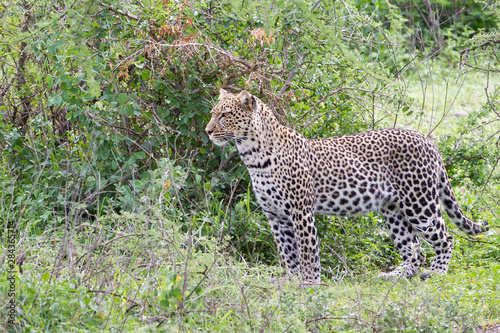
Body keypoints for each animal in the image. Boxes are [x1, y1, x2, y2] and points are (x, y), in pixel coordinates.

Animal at [205, 88, 490, 282]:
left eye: (225, 115)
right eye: (212, 114)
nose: (207, 131)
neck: (254, 156)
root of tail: (429, 141)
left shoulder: (300, 212)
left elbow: (307, 251)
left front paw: (310, 283)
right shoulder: (275, 216)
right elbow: (287, 253)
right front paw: (292, 280)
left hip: (419, 204)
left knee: (446, 238)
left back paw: (437, 272)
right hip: (393, 210)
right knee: (415, 250)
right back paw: (394, 276)